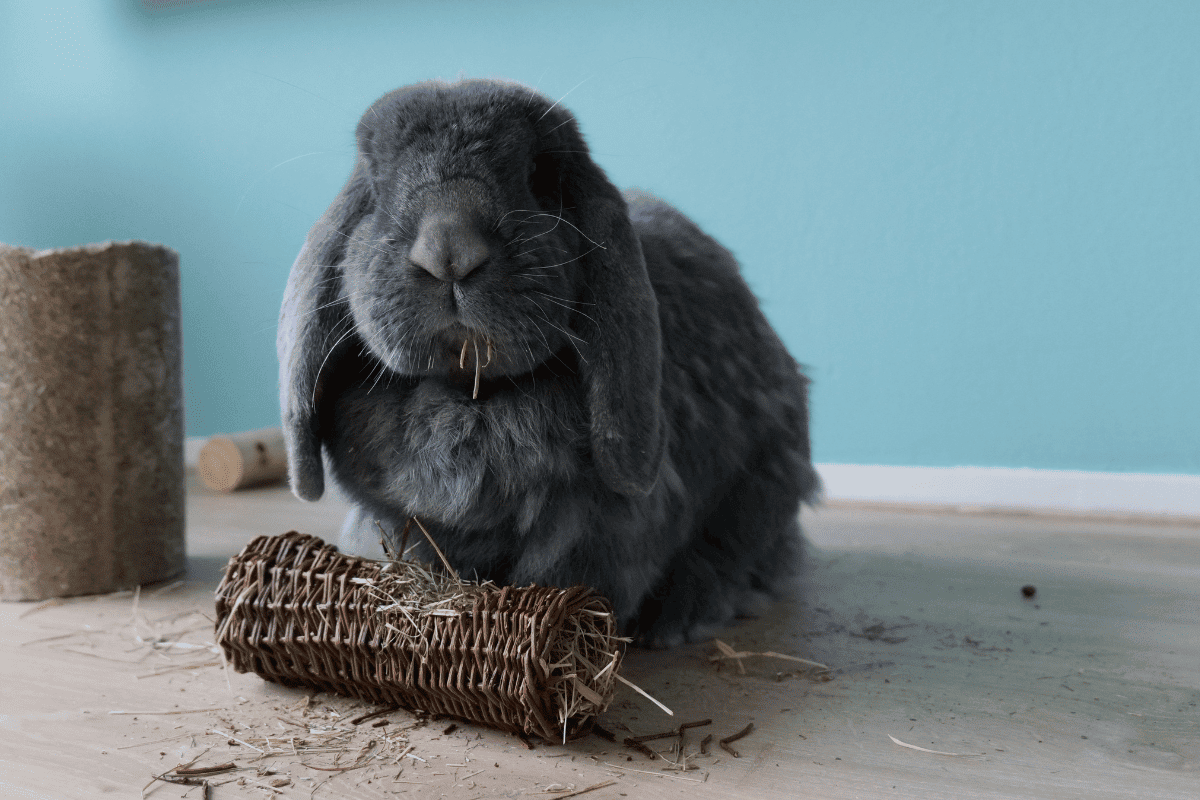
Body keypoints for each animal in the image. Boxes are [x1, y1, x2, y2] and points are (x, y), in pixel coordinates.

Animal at [278, 78, 819, 647]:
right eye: (376, 183)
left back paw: (690, 609)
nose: (449, 251)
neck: (469, 396)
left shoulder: (593, 531)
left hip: (764, 484)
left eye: (539, 175)